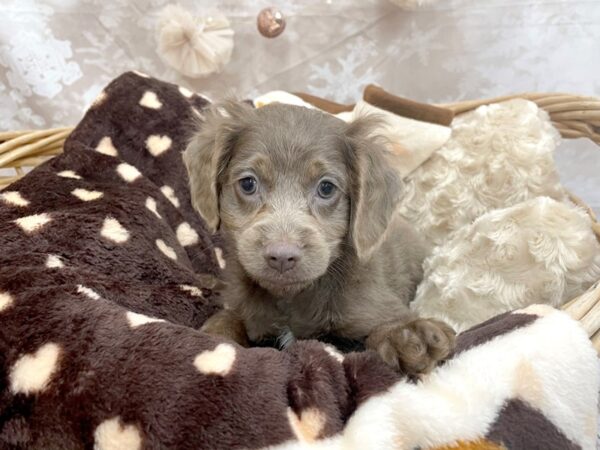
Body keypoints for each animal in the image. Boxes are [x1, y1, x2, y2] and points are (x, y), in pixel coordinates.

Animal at [183, 101, 454, 372]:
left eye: (326, 188)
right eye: (248, 183)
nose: (282, 257)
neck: (290, 298)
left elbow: (380, 328)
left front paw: (407, 335)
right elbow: (230, 317)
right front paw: (216, 339)